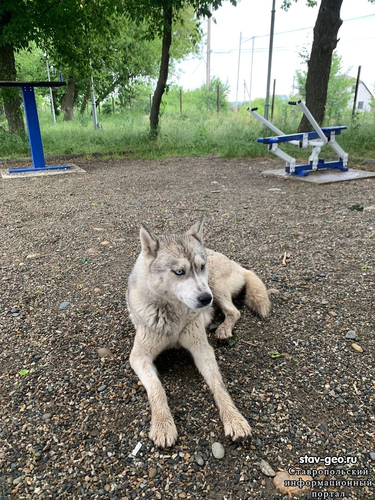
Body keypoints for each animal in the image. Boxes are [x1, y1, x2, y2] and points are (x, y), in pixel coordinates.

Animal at [128, 217, 272, 448]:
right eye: (179, 272)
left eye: (201, 267)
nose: (206, 299)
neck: (175, 314)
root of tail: (236, 264)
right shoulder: (139, 357)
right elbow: (157, 389)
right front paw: (163, 424)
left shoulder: (202, 349)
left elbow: (219, 385)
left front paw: (234, 418)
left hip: (215, 285)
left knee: (234, 312)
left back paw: (223, 329)